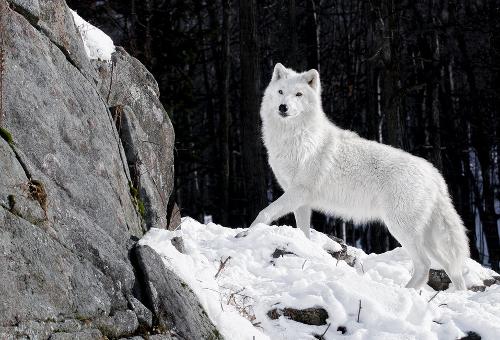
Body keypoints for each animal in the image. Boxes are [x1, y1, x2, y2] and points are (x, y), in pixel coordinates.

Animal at [238, 63, 468, 290]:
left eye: (298, 94)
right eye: (280, 92)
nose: (283, 107)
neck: (295, 137)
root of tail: (435, 174)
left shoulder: (299, 192)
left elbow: (264, 213)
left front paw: (244, 234)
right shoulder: (301, 201)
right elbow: (303, 232)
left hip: (401, 228)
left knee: (424, 266)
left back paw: (403, 292)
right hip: (426, 238)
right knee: (451, 266)